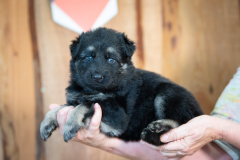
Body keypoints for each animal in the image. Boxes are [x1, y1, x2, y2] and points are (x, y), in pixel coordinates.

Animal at [39, 27, 202, 146]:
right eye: (89, 57)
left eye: (111, 60)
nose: (97, 77)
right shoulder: (74, 99)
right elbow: (62, 107)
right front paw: (46, 123)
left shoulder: (117, 119)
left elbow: (86, 104)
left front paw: (70, 124)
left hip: (166, 93)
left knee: (182, 122)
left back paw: (159, 127)